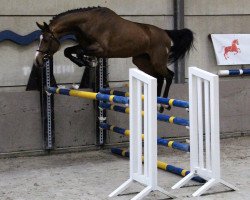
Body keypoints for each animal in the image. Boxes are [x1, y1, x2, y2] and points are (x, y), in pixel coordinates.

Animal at [34, 6, 193, 112]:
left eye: (46, 40)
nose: (38, 60)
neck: (86, 23)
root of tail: (165, 33)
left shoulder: (100, 49)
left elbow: (77, 52)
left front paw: (89, 61)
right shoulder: (85, 46)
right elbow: (68, 51)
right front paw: (86, 62)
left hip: (157, 60)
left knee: (169, 75)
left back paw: (164, 104)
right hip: (141, 61)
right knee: (159, 78)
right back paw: (157, 103)